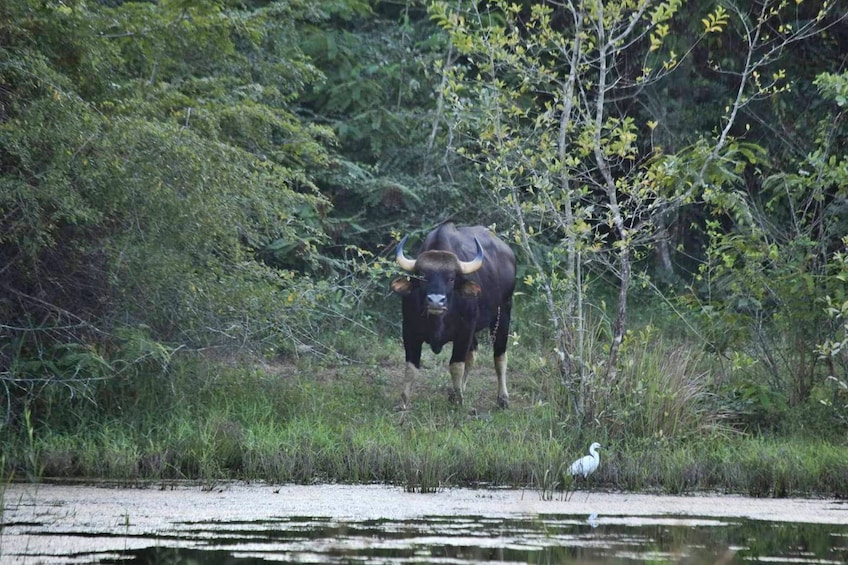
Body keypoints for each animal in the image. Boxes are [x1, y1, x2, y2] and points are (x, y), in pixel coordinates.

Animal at [390, 223, 516, 408]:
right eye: (423, 277)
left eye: (451, 278)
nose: (436, 301)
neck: (438, 321)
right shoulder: (409, 330)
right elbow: (411, 367)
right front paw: (404, 401)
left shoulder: (465, 330)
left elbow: (456, 365)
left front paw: (458, 402)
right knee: (473, 353)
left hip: (503, 313)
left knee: (499, 356)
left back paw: (503, 398)